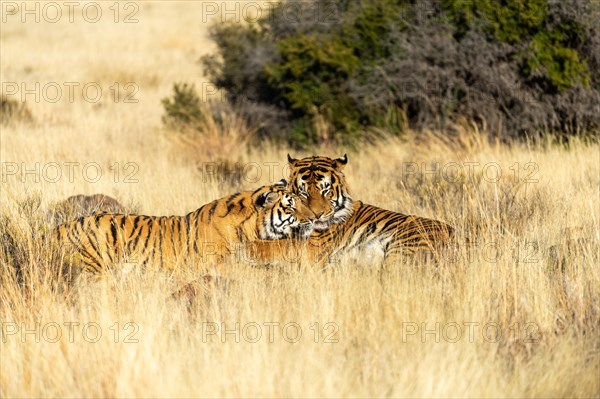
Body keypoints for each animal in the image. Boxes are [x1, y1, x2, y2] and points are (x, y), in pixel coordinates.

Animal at [252, 155, 454, 266]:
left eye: (326, 191)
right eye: (303, 193)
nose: (316, 216)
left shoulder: (311, 247)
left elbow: (272, 246)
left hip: (402, 248)